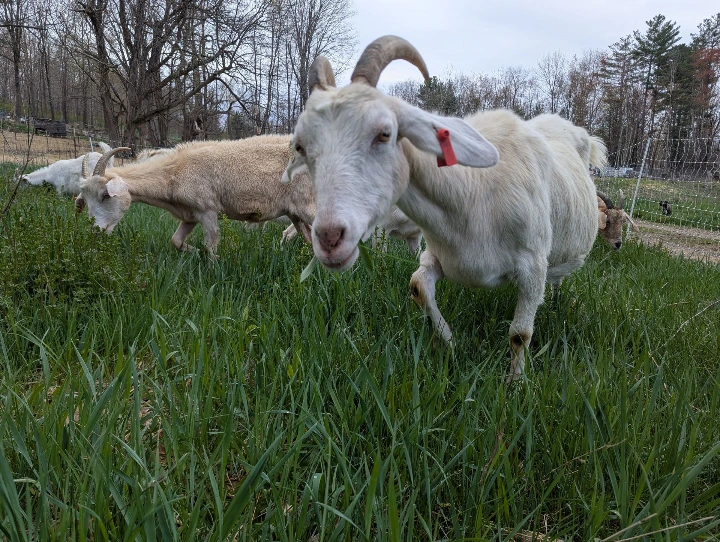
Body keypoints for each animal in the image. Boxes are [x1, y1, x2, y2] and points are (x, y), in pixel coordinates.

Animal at [76, 135, 315, 256]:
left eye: (105, 196)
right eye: (85, 200)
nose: (95, 230)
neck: (173, 173)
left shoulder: (208, 209)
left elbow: (211, 244)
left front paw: (214, 266)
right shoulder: (189, 215)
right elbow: (175, 240)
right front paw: (192, 251)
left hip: (309, 207)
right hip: (296, 213)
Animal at [284, 36, 605, 378]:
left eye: (385, 133)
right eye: (301, 146)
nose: (330, 238)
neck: (475, 192)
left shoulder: (533, 265)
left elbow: (520, 334)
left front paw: (515, 382)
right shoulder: (440, 252)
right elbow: (417, 286)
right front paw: (450, 344)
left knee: (556, 282)